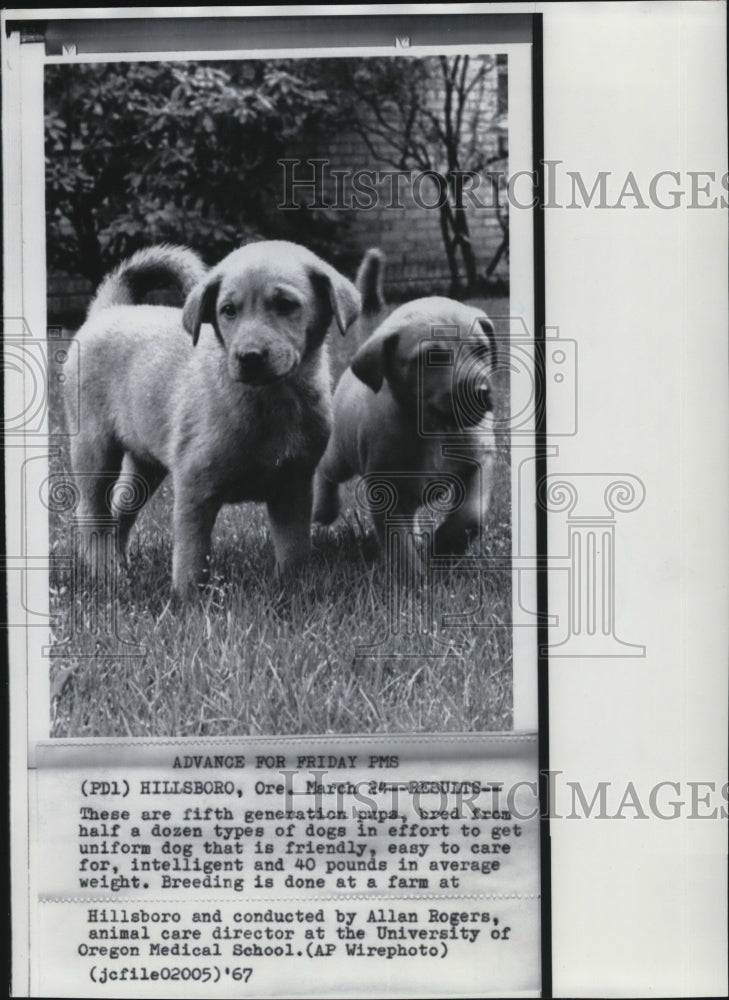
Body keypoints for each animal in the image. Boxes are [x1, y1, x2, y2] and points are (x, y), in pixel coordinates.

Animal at [69, 240, 360, 592]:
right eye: (228, 310)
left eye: (286, 304)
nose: (249, 357)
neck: (271, 400)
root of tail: (109, 310)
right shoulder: (194, 488)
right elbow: (191, 558)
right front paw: (188, 600)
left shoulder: (293, 487)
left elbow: (294, 550)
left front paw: (294, 589)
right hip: (94, 449)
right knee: (93, 513)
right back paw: (106, 573)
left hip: (145, 464)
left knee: (121, 511)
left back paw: (121, 568)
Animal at [316, 292, 498, 560]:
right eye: (433, 358)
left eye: (481, 350)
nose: (480, 393)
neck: (435, 430)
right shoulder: (386, 492)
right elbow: (401, 548)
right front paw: (415, 569)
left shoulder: (479, 461)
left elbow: (471, 514)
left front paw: (445, 544)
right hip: (341, 456)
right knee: (325, 470)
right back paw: (324, 509)